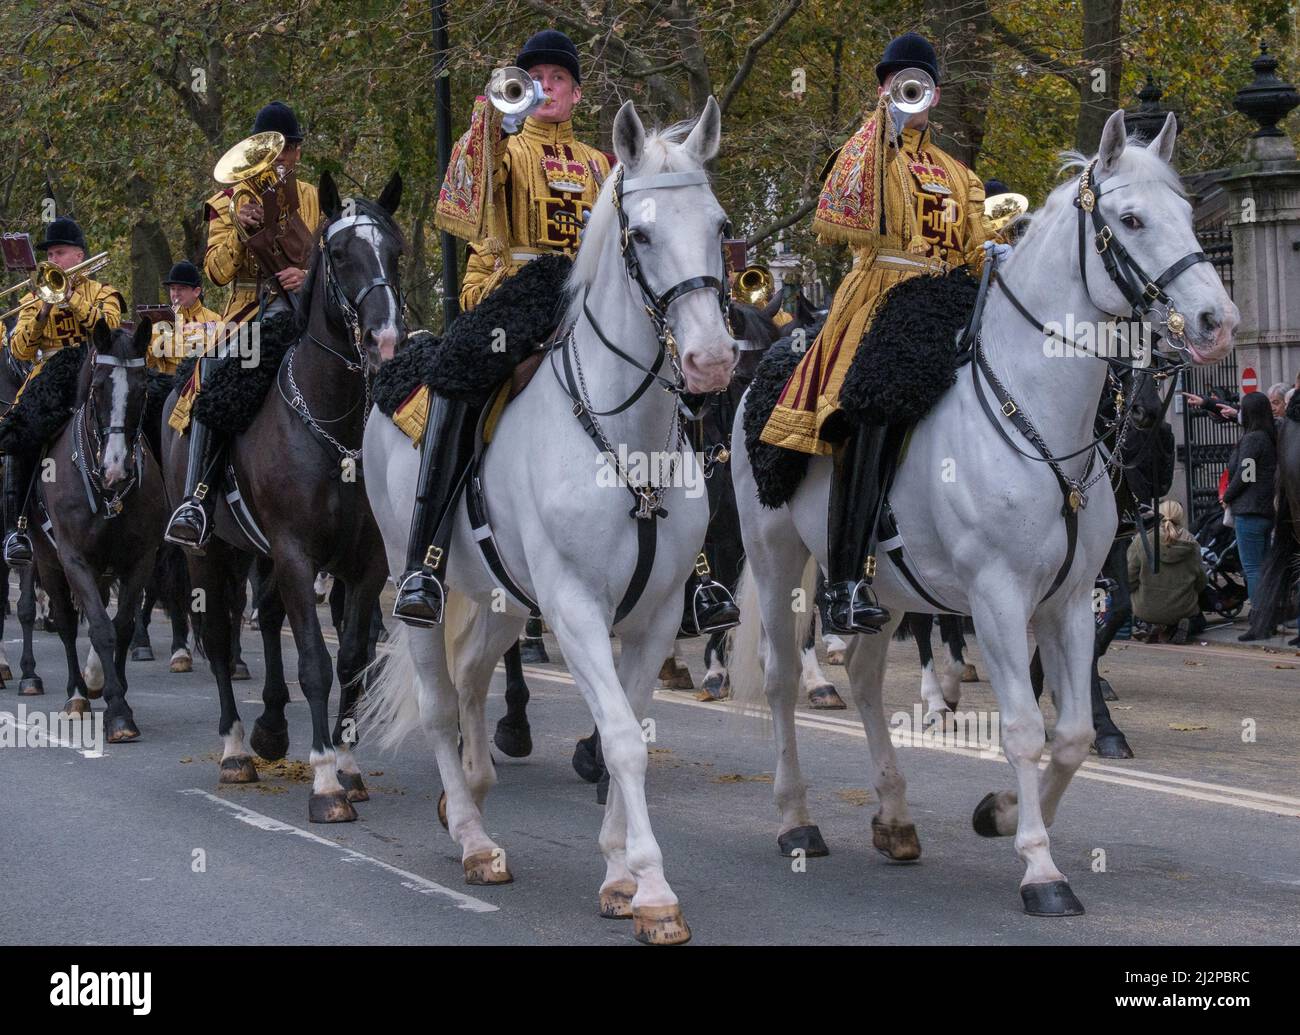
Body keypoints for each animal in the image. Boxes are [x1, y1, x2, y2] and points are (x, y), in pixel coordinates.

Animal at [163, 171, 405, 826]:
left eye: (396, 251)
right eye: (340, 254)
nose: (385, 340)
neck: (333, 424)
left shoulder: (366, 563)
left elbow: (351, 659)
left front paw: (347, 766)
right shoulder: (298, 554)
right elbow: (316, 664)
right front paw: (324, 783)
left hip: (259, 551)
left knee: (267, 619)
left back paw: (271, 727)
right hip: (209, 552)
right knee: (220, 639)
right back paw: (236, 750)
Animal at [361, 98, 738, 946]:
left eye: (721, 225)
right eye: (641, 235)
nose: (710, 362)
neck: (626, 446)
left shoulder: (654, 616)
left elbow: (629, 723)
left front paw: (620, 874)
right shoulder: (574, 608)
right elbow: (623, 740)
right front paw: (654, 889)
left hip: (505, 596)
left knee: (474, 677)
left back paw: (468, 793)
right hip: (421, 582)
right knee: (439, 701)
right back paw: (473, 838)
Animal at [733, 109, 1237, 915]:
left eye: (1189, 215)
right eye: (1131, 219)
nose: (1217, 320)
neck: (1040, 416)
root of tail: (764, 370)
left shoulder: (1069, 599)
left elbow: (1072, 733)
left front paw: (1000, 813)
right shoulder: (998, 596)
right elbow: (1026, 727)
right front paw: (1041, 869)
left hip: (882, 587)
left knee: (868, 679)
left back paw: (895, 817)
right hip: (777, 554)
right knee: (780, 675)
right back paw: (796, 820)